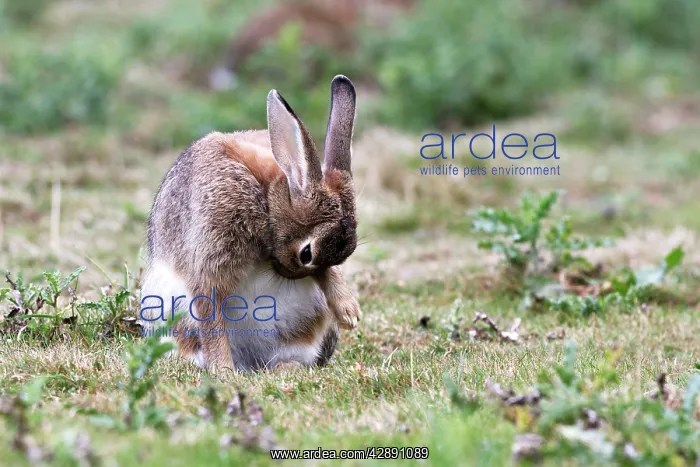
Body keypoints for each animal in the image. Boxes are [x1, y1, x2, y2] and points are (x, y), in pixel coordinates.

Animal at [140, 75, 361, 371]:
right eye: (306, 254)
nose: (289, 275)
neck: (265, 196)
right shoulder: (209, 258)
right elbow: (210, 313)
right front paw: (223, 371)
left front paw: (349, 312)